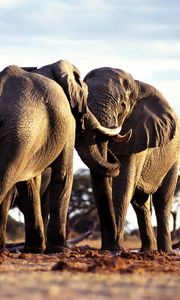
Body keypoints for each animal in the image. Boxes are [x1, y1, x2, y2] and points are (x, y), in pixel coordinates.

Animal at [0, 59, 124, 252]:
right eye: (86, 97)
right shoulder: (67, 122)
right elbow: (63, 175)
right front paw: (58, 249)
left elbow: (29, 183)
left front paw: (35, 249)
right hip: (19, 133)